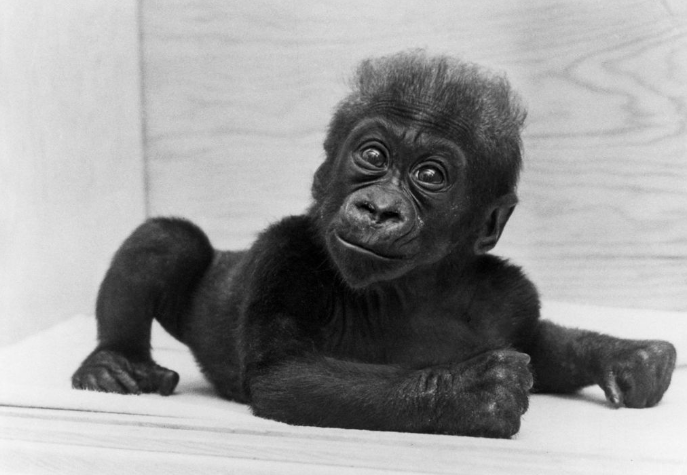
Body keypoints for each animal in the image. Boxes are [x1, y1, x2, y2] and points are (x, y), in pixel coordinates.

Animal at [72, 51, 676, 438]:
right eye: (372, 156)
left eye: (431, 175)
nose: (379, 208)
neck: (415, 287)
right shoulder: (286, 258)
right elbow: (284, 375)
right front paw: (471, 393)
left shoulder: (507, 297)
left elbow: (537, 343)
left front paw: (625, 356)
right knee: (168, 242)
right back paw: (113, 360)